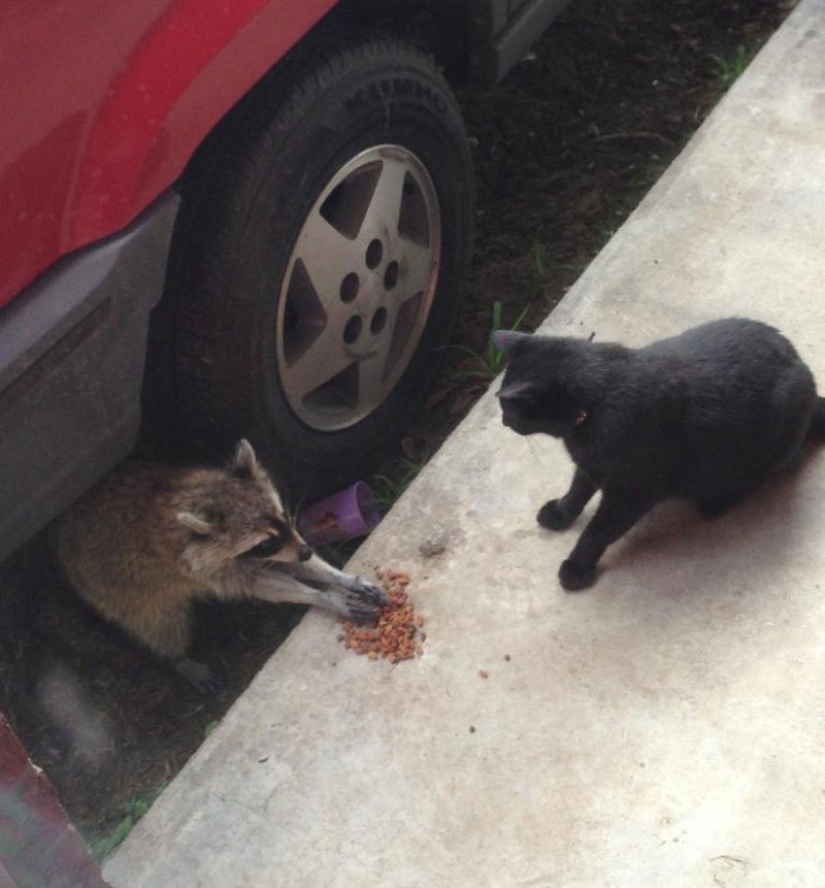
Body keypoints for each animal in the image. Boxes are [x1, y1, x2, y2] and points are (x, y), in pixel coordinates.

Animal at [58, 440, 386, 692]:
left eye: (282, 515)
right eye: (265, 542)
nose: (306, 551)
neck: (195, 496)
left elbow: (290, 566)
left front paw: (340, 578)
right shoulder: (201, 568)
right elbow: (267, 585)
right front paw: (324, 597)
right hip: (117, 592)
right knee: (158, 624)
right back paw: (178, 658)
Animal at [492, 316, 824, 592]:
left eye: (507, 406)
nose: (503, 420)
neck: (598, 397)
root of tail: (802, 367)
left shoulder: (631, 492)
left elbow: (597, 530)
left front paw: (577, 566)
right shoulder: (590, 465)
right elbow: (577, 491)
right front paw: (560, 513)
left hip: (765, 443)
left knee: (774, 468)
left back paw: (718, 501)